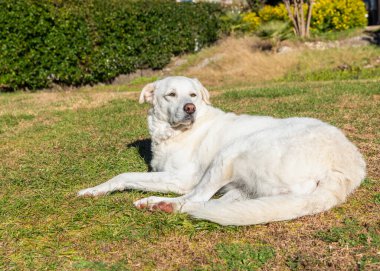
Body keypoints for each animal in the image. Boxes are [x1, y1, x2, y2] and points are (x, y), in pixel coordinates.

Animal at [78, 76, 366, 225]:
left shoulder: (182, 179)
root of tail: (344, 166)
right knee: (211, 203)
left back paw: (159, 204)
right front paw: (94, 190)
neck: (174, 133)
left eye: (193, 95)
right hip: (245, 186)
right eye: (171, 95)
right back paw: (160, 205)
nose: (190, 109)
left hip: (231, 152)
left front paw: (95, 189)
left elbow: (125, 175)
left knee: (197, 199)